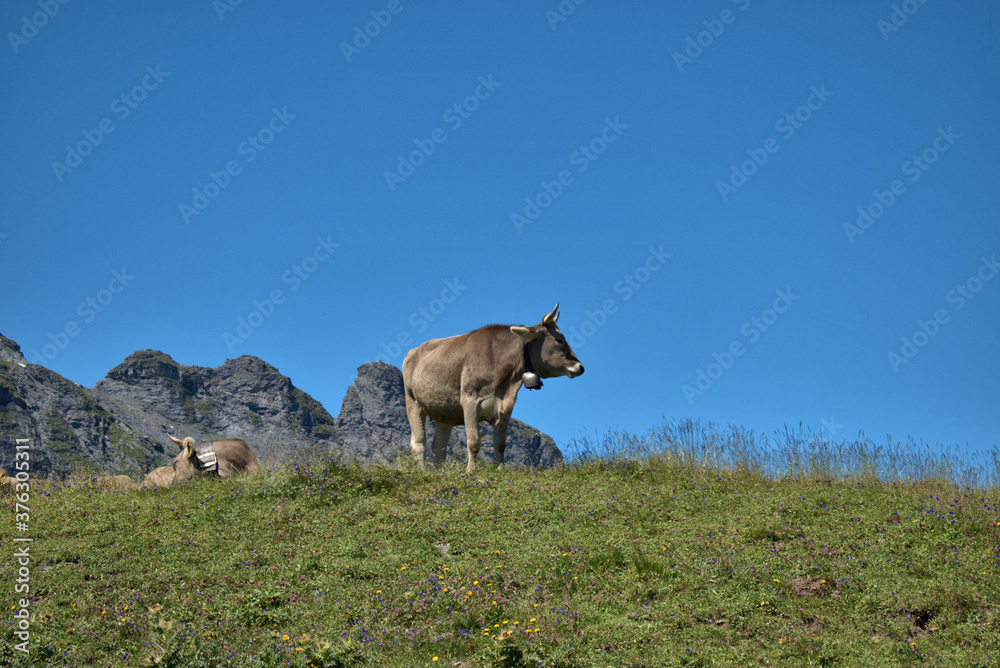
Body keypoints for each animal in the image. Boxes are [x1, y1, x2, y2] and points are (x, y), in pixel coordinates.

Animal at [403, 303, 584, 472]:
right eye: (559, 339)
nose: (580, 366)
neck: (505, 385)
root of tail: (414, 350)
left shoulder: (506, 407)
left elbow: (500, 445)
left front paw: (500, 469)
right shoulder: (470, 401)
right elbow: (474, 441)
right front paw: (471, 470)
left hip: (444, 413)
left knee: (438, 448)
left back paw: (439, 472)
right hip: (412, 402)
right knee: (419, 443)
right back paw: (423, 471)